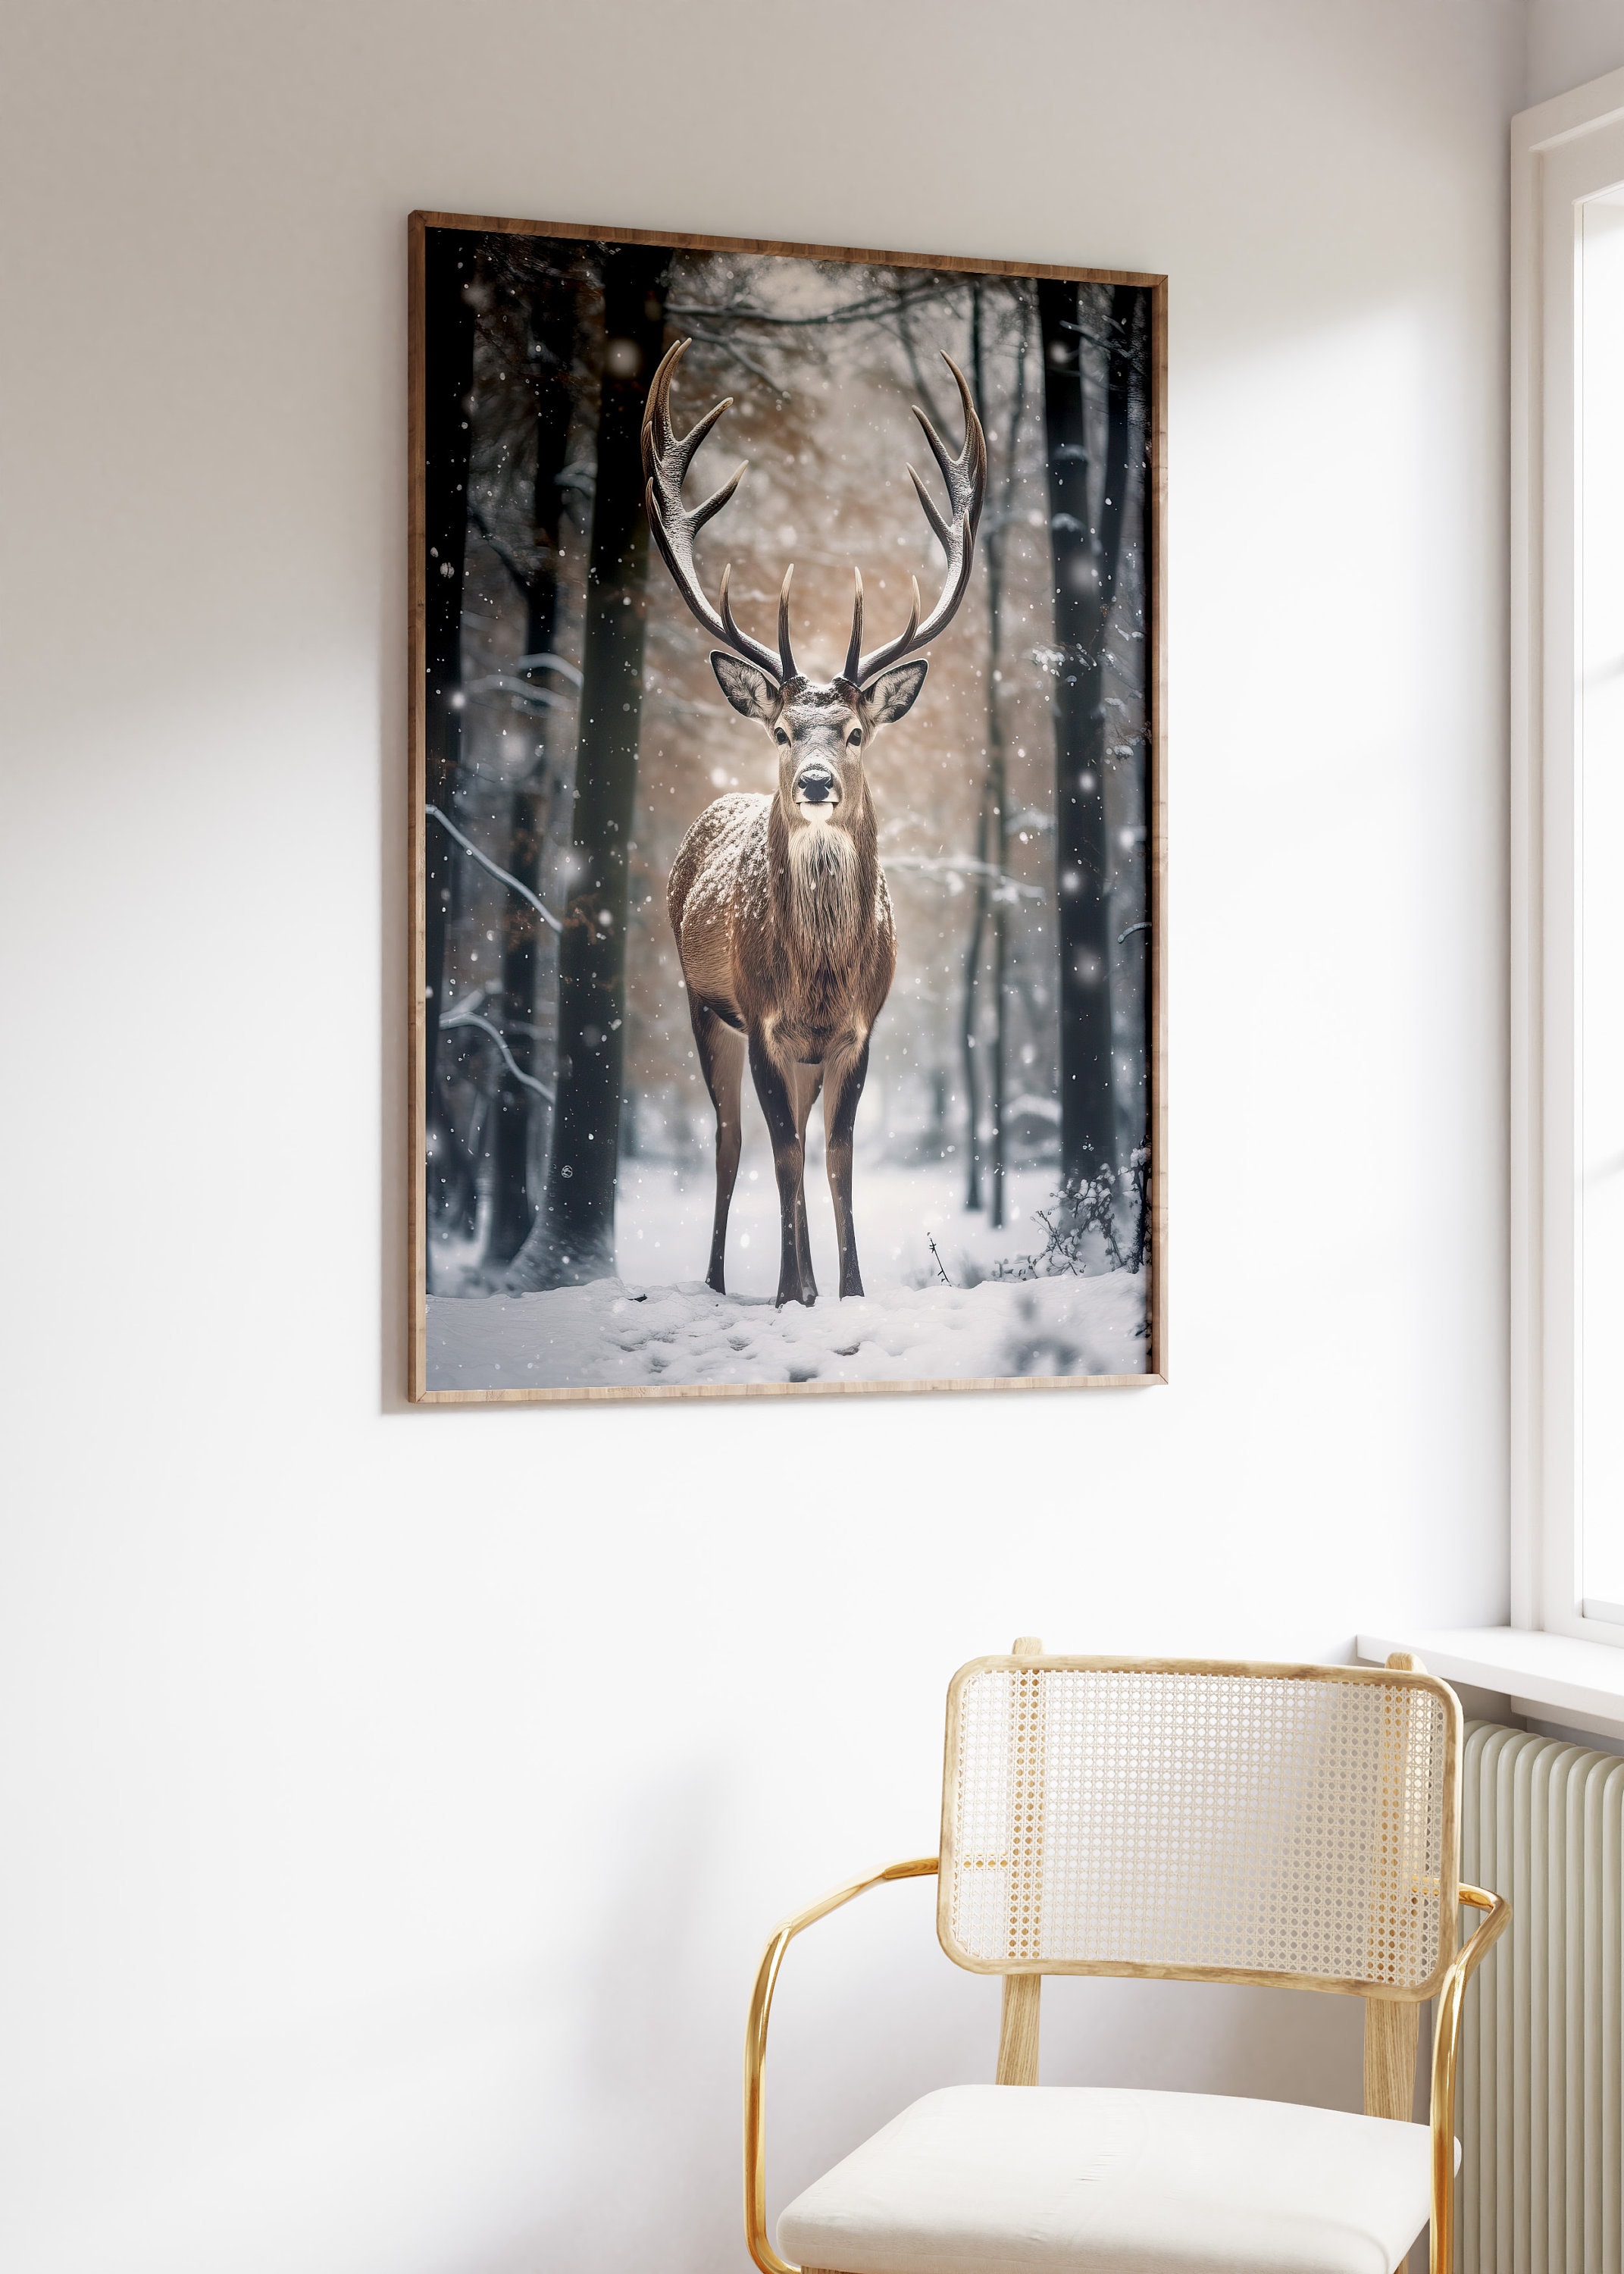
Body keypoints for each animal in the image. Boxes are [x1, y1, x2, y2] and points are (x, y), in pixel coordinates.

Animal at [643, 336, 986, 1308]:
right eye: (782, 729)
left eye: (859, 729)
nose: (819, 781)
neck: (823, 975)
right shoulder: (758, 1017)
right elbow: (786, 1156)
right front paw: (792, 1294)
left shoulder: (857, 1031)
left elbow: (836, 1158)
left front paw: (849, 1292)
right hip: (702, 1007)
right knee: (731, 1143)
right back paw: (722, 1281)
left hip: (792, 1048)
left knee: (786, 1137)